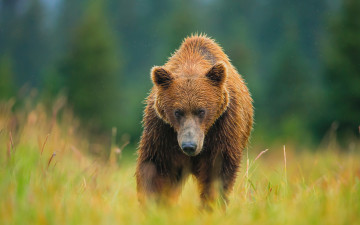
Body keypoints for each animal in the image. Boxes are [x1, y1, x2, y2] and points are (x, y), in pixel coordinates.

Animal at [135, 33, 253, 209]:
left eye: (201, 111)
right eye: (177, 112)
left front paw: (211, 205)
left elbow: (218, 172)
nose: (189, 146)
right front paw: (155, 204)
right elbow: (156, 167)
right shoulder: (162, 130)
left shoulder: (223, 125)